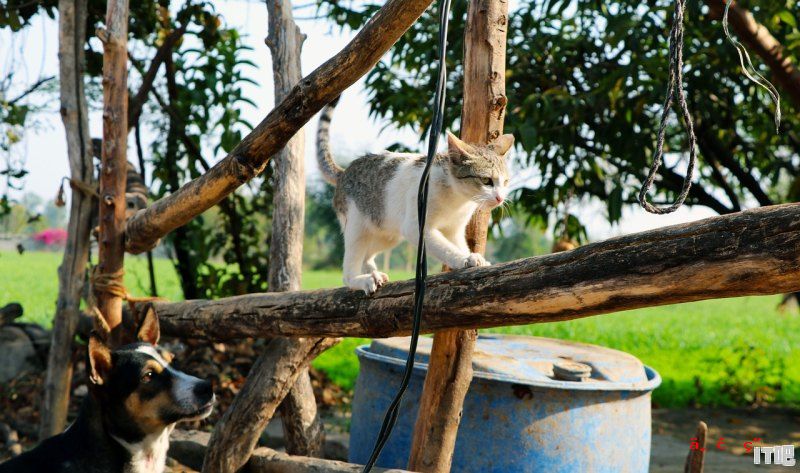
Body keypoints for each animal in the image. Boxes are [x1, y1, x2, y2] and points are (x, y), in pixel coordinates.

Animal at [318, 98, 512, 292]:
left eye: (505, 182)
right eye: (486, 180)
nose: (500, 198)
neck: (457, 199)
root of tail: (343, 173)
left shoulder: (454, 229)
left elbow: (456, 243)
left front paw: (471, 256)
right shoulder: (416, 226)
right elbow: (444, 247)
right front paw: (464, 259)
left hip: (387, 232)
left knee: (367, 255)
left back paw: (374, 272)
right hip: (357, 225)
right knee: (348, 272)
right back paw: (363, 279)